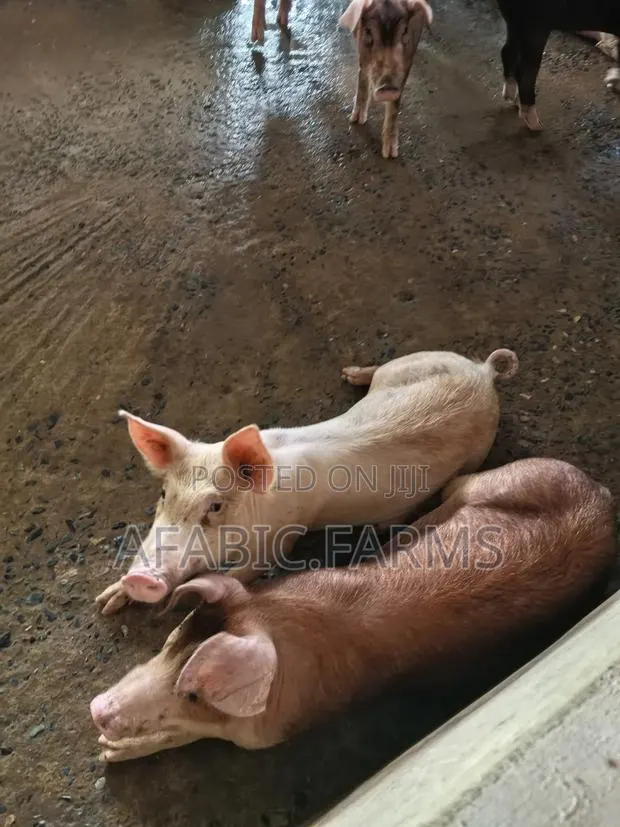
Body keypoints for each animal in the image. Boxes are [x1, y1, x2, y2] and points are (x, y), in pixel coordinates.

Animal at [90, 457, 616, 761]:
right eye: (174, 639)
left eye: (193, 693)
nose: (98, 709)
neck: (280, 619)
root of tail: (602, 497)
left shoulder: (273, 729)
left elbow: (184, 735)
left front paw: (106, 753)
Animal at [95, 348, 518, 615]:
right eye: (164, 493)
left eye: (215, 506)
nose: (140, 579)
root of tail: (483, 373)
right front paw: (106, 602)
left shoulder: (279, 540)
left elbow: (239, 574)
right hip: (418, 360)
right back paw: (350, 372)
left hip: (476, 452)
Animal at [339, 0, 434, 158]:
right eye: (368, 32)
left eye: (405, 32)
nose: (388, 89)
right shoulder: (361, 53)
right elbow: (362, 79)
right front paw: (356, 120)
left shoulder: (408, 60)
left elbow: (394, 105)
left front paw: (390, 154)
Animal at [496, 1, 620, 131]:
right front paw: (611, 80)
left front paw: (611, 79)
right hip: (535, 25)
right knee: (525, 72)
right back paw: (536, 124)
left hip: (515, 23)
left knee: (507, 50)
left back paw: (511, 98)